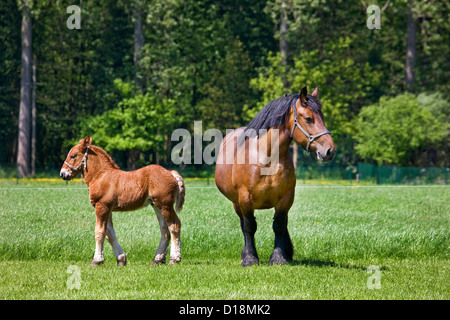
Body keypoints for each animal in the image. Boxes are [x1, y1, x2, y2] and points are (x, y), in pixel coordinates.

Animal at [60, 136, 185, 266]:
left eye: (73, 156)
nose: (63, 174)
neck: (100, 175)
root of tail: (171, 173)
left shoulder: (102, 206)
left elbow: (99, 232)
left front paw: (96, 261)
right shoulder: (108, 209)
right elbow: (109, 234)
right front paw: (121, 259)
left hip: (165, 205)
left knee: (174, 225)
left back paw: (174, 259)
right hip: (156, 205)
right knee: (164, 229)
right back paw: (157, 259)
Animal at [214, 86, 334, 266]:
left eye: (323, 117)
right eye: (308, 118)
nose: (329, 150)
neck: (267, 158)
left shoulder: (286, 199)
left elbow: (279, 226)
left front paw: (279, 257)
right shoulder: (245, 198)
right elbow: (249, 226)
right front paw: (250, 258)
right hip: (236, 203)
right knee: (243, 224)